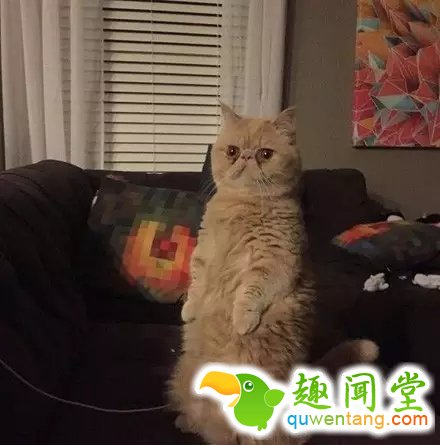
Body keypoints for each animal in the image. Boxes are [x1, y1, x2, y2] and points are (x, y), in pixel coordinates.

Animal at [168, 104, 378, 445]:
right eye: (232, 150)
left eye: (265, 154)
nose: (245, 157)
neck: (243, 206)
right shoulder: (204, 253)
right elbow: (197, 283)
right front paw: (189, 310)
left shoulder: (275, 262)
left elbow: (251, 292)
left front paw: (242, 322)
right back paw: (187, 422)